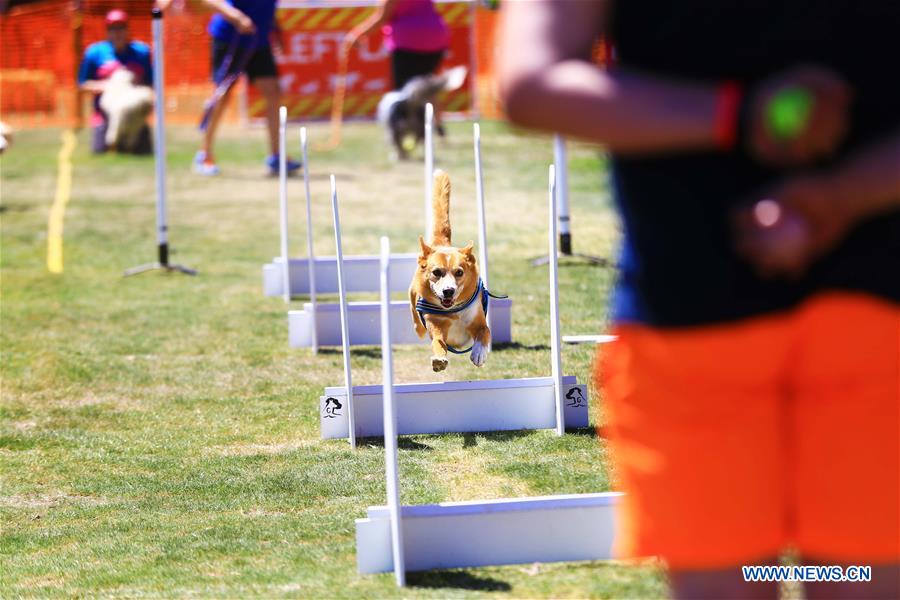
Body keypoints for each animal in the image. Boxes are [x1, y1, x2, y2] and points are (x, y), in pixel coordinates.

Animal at [410, 169, 492, 372]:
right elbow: (438, 342)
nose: (448, 291)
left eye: (459, 272)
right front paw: (439, 359)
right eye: (436, 272)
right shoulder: (436, 325)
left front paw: (479, 353)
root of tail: (442, 244)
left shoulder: (478, 320)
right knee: (416, 322)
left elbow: (484, 332)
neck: (453, 311)